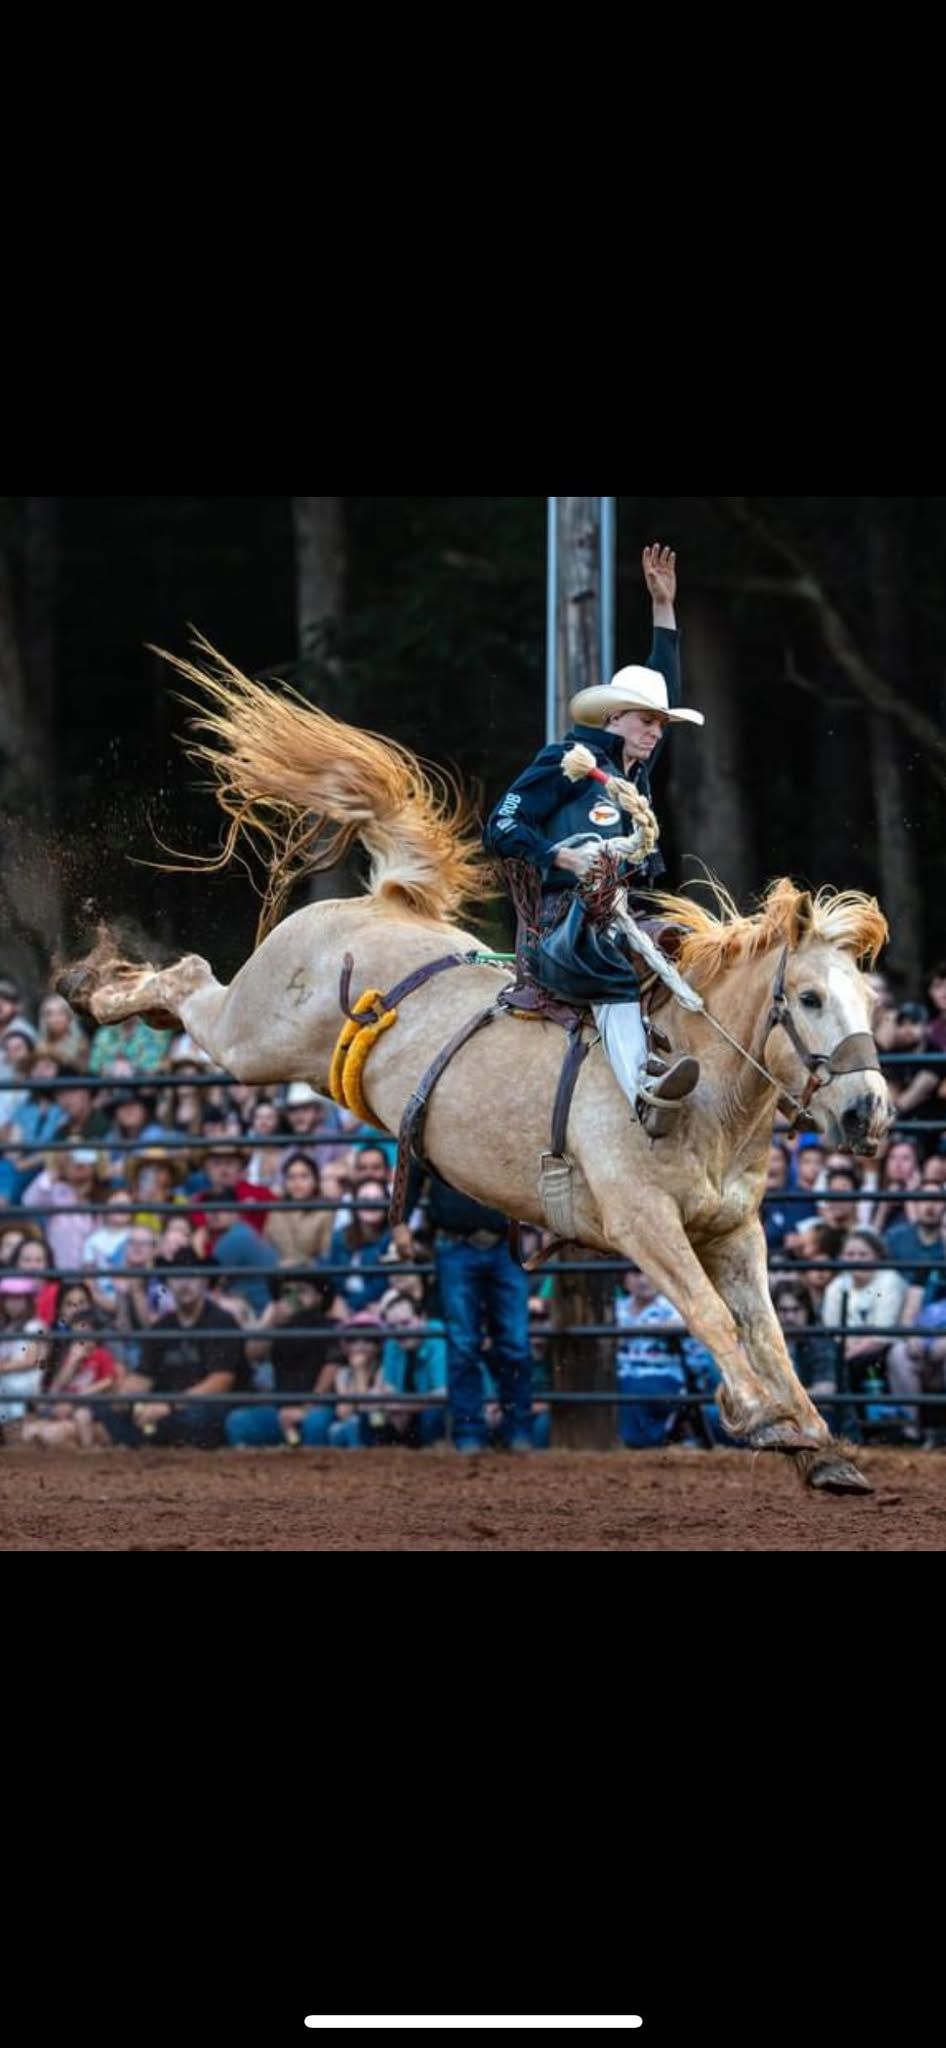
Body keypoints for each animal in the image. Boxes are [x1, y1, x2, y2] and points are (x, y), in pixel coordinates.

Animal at [60, 638, 892, 1490]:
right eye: (810, 998)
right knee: (192, 977)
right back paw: (92, 987)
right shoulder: (642, 1220)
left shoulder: (732, 1229)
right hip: (253, 1037)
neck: (702, 1090)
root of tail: (382, 899)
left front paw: (818, 1443)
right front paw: (761, 1420)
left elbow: (769, 1334)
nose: (868, 1111)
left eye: (869, 997)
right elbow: (713, 1318)